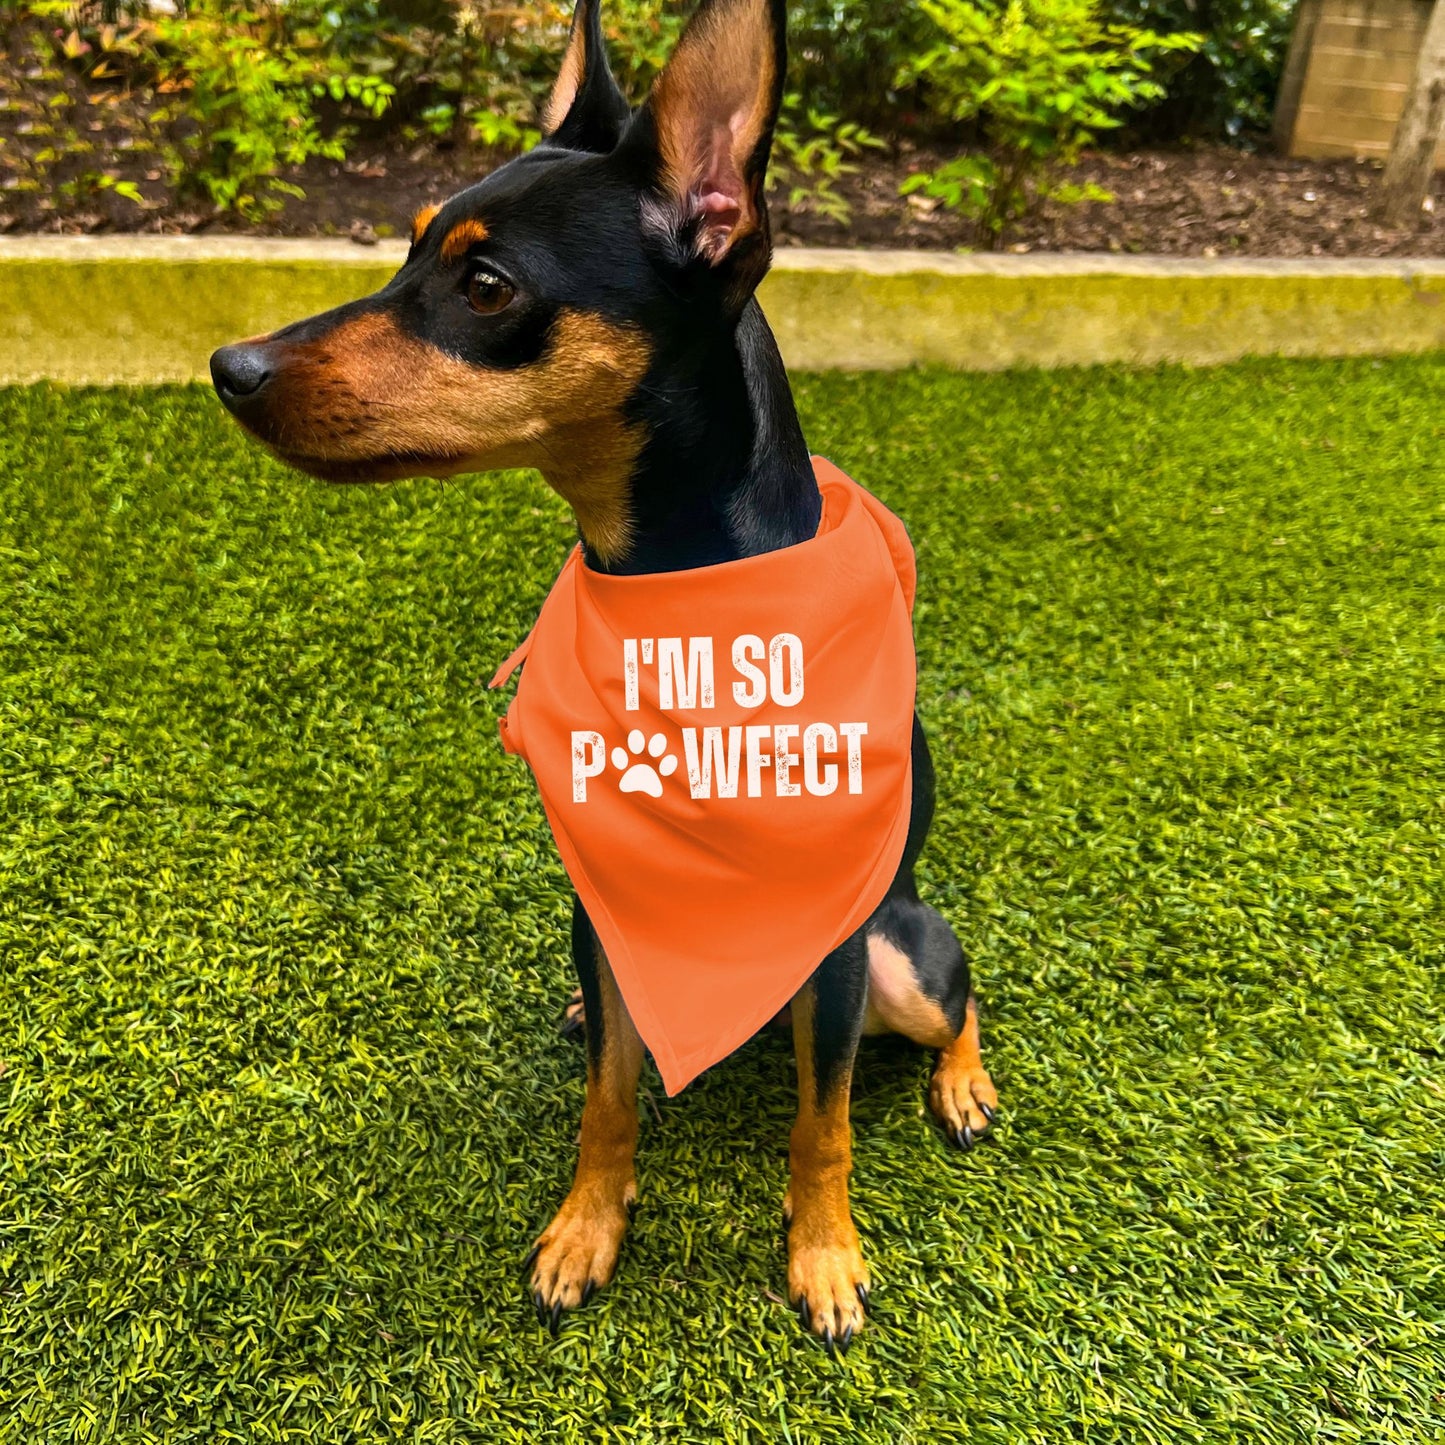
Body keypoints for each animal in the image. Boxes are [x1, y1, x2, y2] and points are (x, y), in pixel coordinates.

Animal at [209, 0, 994, 1352]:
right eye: (406, 250)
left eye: (485, 286)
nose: (231, 367)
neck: (671, 607)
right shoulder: (602, 895)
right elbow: (610, 1097)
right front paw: (586, 1228)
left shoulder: (835, 955)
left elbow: (823, 1121)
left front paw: (825, 1256)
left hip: (901, 954)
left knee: (961, 1000)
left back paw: (963, 1084)